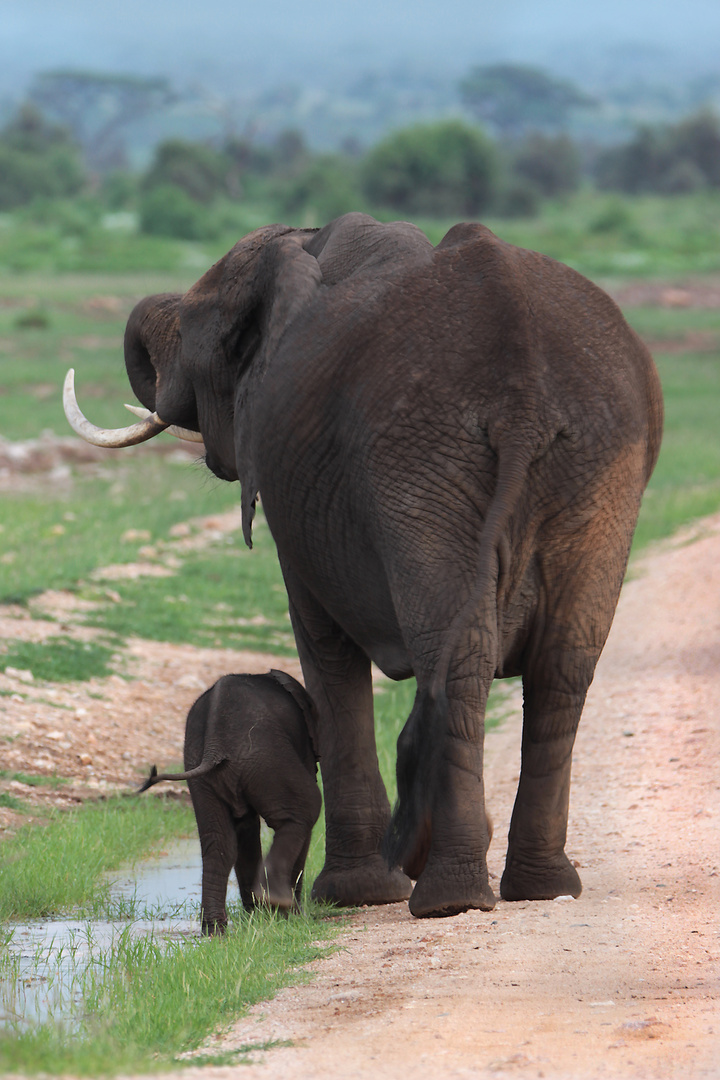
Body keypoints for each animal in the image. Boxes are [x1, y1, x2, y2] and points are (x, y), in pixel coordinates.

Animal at [139, 669, 319, 933]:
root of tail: (216, 744)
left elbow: (244, 830)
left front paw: (257, 914)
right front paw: (285, 915)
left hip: (202, 768)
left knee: (219, 842)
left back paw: (215, 929)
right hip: (265, 758)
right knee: (304, 809)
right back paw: (279, 901)